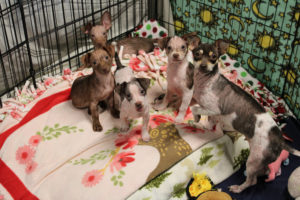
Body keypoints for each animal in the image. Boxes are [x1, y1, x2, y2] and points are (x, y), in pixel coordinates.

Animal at [191, 39, 300, 194]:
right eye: (197, 54)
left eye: (213, 57)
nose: (203, 66)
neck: (205, 81)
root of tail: (281, 141)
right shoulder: (210, 113)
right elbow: (205, 119)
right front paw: (198, 123)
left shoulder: (213, 109)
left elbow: (194, 108)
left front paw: (195, 118)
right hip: (260, 161)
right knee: (264, 172)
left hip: (254, 160)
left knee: (252, 181)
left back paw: (238, 188)